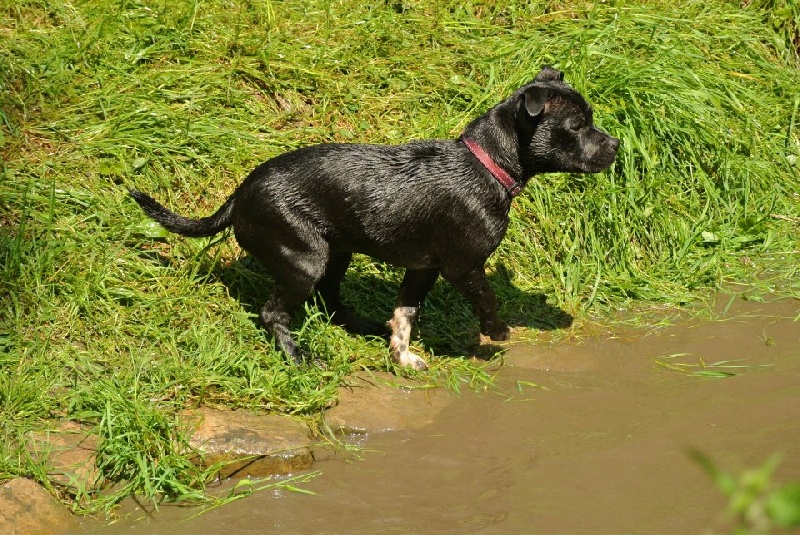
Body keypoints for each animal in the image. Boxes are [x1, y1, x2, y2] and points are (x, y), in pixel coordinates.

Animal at [131, 66, 620, 368]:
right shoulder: (463, 266)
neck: (487, 165)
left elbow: (406, 311)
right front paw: (496, 332)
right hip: (304, 257)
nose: (616, 146)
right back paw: (298, 357)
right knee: (274, 313)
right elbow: (487, 298)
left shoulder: (424, 268)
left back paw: (362, 326)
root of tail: (239, 194)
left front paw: (401, 354)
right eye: (577, 127)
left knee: (330, 297)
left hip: (336, 251)